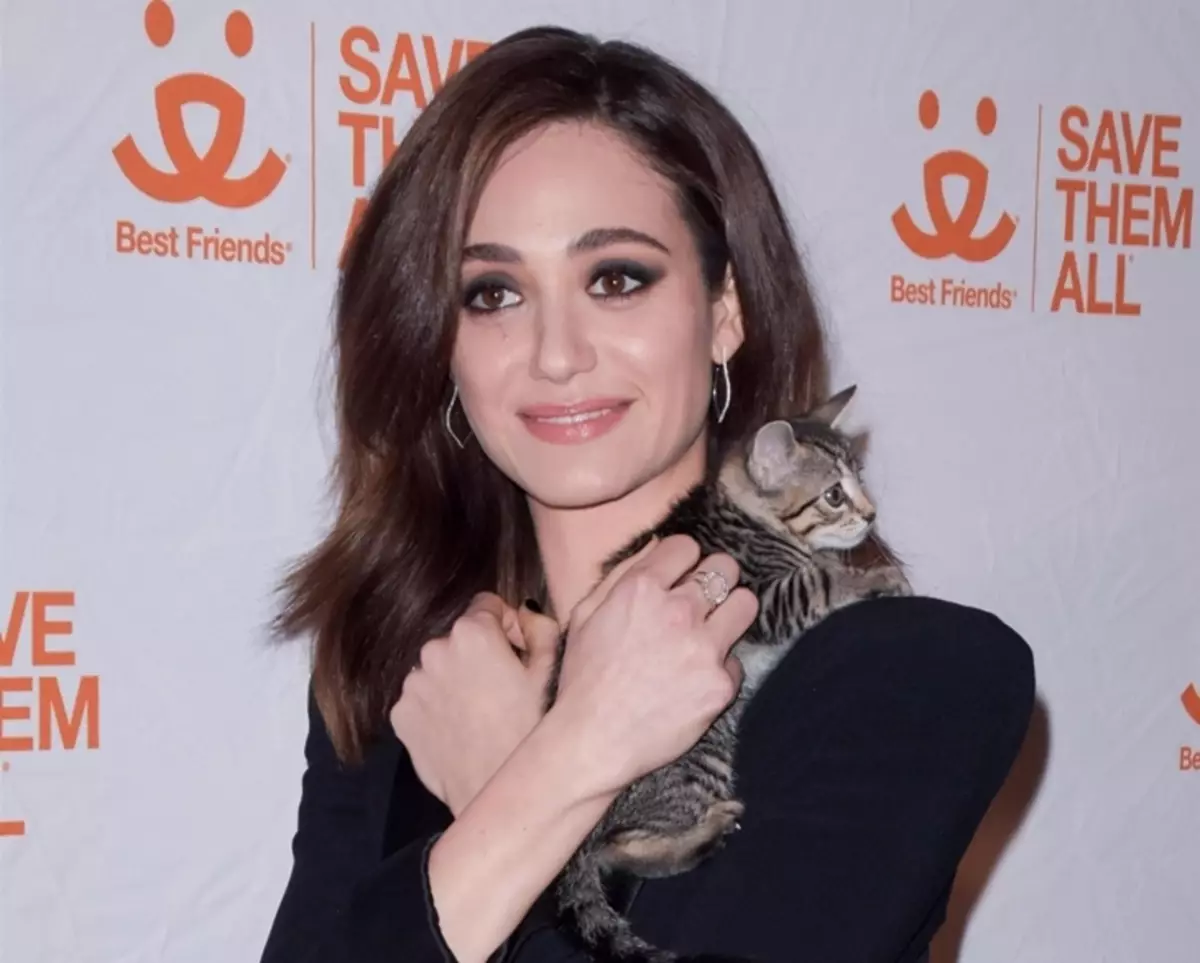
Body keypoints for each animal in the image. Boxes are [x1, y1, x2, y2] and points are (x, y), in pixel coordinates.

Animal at [542, 384, 907, 960]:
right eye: (834, 495)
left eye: (861, 480)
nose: (871, 516)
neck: (749, 515)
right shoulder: (762, 597)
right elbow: (821, 578)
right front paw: (874, 576)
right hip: (696, 757)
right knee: (615, 849)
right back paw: (705, 833)